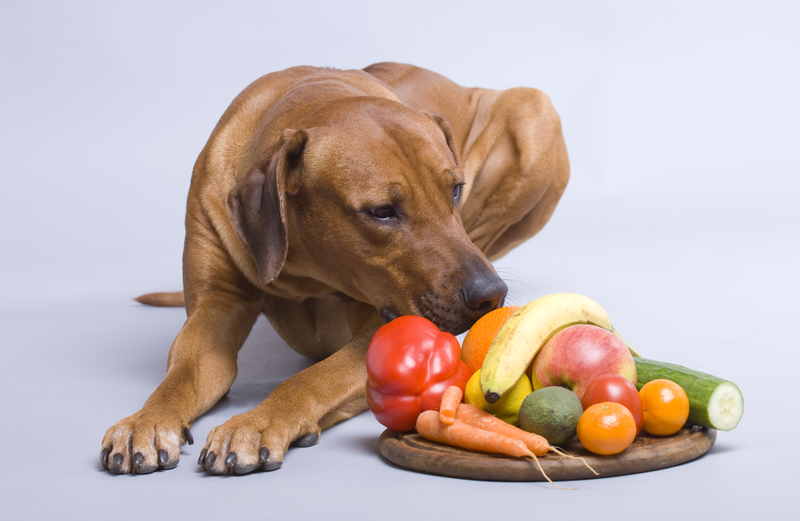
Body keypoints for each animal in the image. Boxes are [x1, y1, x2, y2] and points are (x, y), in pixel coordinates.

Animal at [101, 63, 568, 474]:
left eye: (455, 189)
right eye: (381, 211)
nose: (491, 294)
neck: (304, 269)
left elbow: (313, 380)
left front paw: (255, 423)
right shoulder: (216, 305)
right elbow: (183, 372)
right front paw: (146, 421)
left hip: (534, 109)